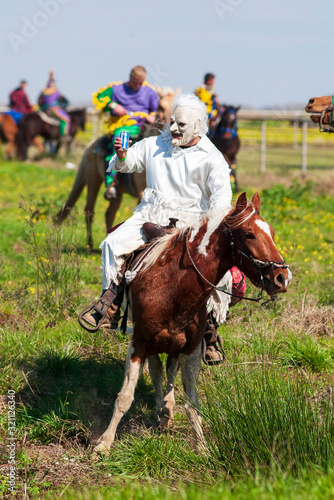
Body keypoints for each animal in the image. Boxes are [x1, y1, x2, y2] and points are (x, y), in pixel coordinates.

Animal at [92, 192, 290, 458]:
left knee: (169, 370)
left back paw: (166, 410)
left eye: (271, 232)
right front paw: (104, 443)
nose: (282, 278)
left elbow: (192, 404)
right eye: (249, 234)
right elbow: (125, 396)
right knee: (157, 370)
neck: (174, 287)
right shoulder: (139, 343)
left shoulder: (191, 349)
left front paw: (203, 448)